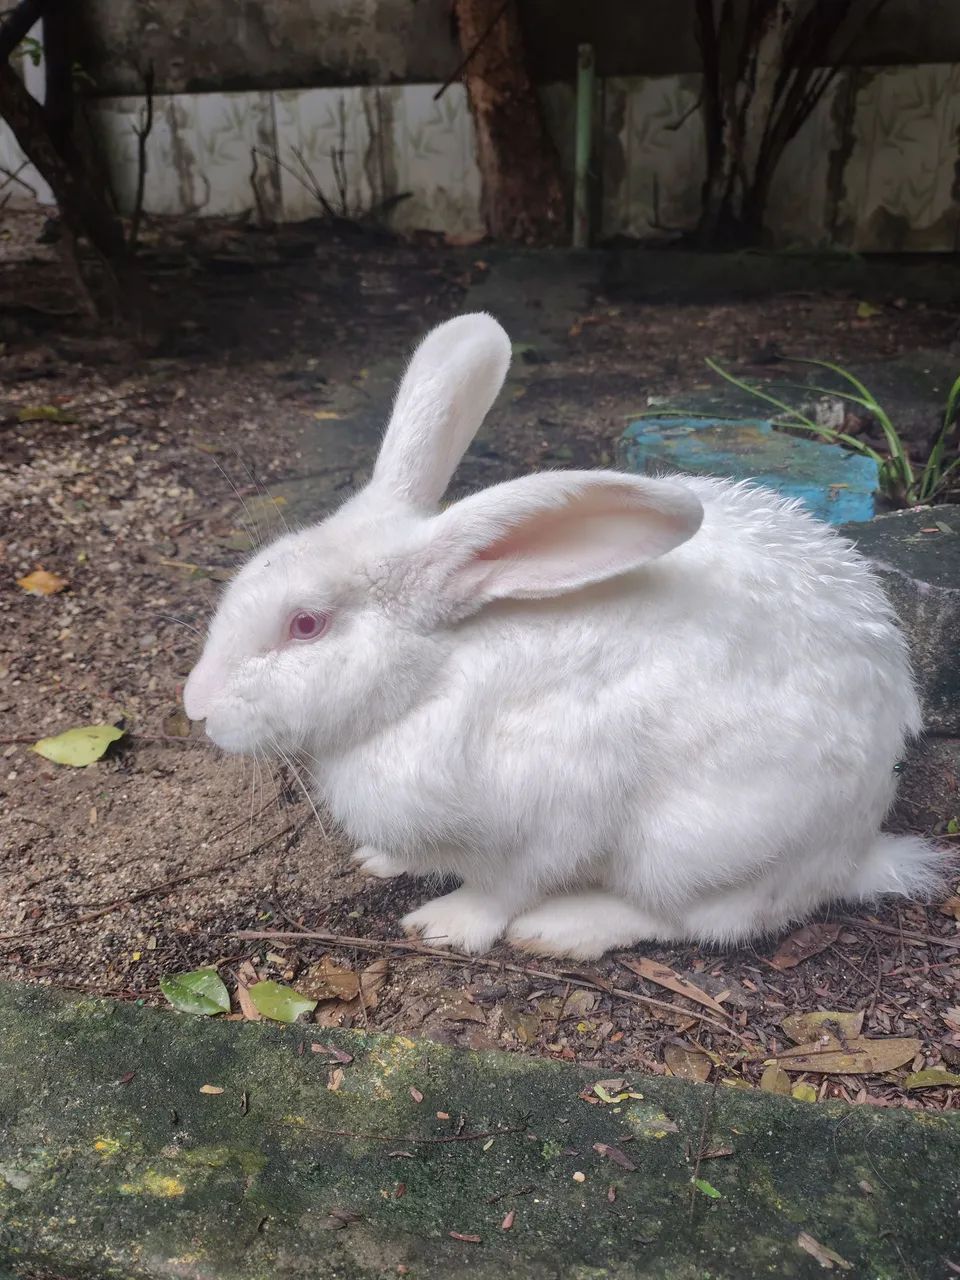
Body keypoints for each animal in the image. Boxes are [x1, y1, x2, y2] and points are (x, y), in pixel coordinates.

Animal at [183, 312, 942, 959]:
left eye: (305, 625)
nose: (197, 708)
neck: (429, 679)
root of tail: (856, 851)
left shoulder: (541, 825)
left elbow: (500, 890)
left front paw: (443, 925)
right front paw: (381, 860)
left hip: (697, 845)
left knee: (703, 919)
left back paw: (565, 928)